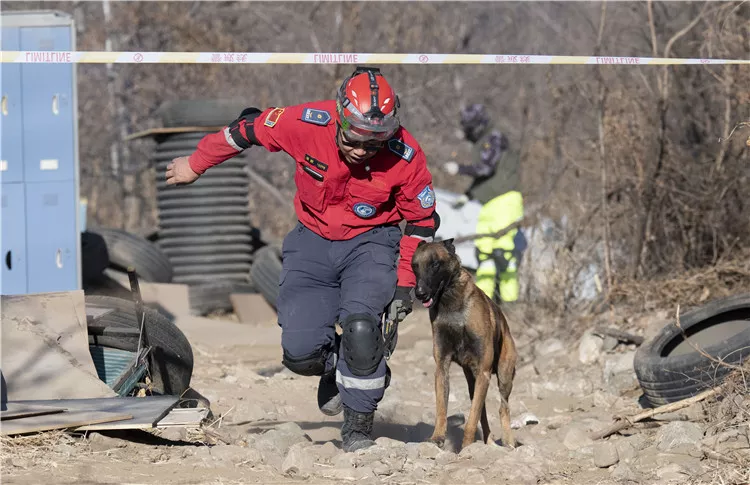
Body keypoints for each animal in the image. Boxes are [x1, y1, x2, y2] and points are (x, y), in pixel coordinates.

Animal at [412, 238, 516, 450]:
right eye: (415, 266)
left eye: (435, 264)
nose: (420, 293)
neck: (451, 305)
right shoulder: (442, 367)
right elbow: (442, 410)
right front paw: (437, 438)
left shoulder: (484, 371)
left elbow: (472, 419)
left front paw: (467, 446)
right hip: (473, 382)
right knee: (482, 412)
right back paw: (488, 442)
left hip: (503, 376)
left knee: (503, 408)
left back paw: (508, 442)